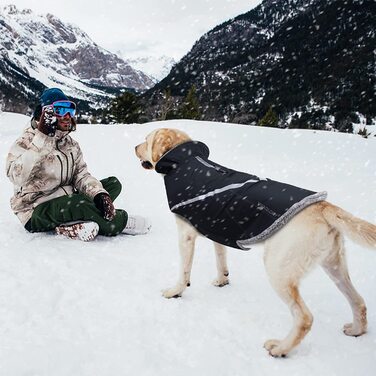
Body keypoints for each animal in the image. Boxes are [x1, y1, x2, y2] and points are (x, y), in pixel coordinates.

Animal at [135, 128, 376, 356]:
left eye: (146, 140)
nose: (135, 147)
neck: (185, 161)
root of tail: (324, 206)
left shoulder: (185, 234)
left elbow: (184, 271)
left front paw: (175, 291)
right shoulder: (217, 229)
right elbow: (221, 258)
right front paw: (222, 280)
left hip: (278, 269)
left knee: (305, 318)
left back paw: (280, 348)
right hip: (334, 266)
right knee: (359, 302)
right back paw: (356, 330)